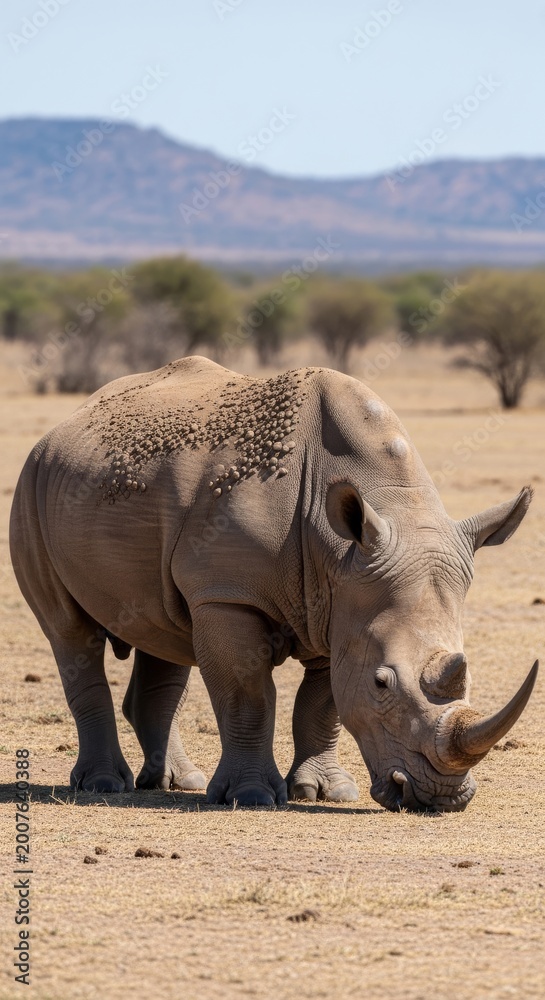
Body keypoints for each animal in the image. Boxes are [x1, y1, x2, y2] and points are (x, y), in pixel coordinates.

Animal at [9, 356, 538, 811]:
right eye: (382, 683)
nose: (441, 797)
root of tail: (62, 427)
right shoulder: (229, 595)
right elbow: (249, 695)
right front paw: (252, 796)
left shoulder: (341, 602)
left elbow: (322, 704)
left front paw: (325, 792)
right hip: (31, 486)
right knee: (69, 631)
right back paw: (104, 785)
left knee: (161, 634)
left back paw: (177, 783)